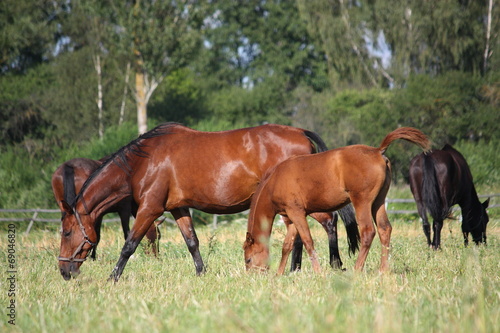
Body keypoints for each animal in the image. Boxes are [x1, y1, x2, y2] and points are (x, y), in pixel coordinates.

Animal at [57, 122, 360, 280]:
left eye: (67, 232)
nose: (64, 271)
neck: (143, 160)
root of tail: (299, 131)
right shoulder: (178, 208)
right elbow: (192, 241)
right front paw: (201, 273)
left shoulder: (149, 209)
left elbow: (129, 244)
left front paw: (112, 278)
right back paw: (300, 268)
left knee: (327, 222)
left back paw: (329, 264)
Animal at [243, 126, 430, 272]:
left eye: (248, 259)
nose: (254, 276)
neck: (275, 180)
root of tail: (377, 151)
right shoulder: (293, 216)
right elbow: (287, 246)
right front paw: (279, 274)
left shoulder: (296, 213)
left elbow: (308, 241)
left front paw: (318, 272)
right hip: (378, 202)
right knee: (385, 229)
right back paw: (383, 270)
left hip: (362, 202)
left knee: (368, 232)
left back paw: (357, 269)